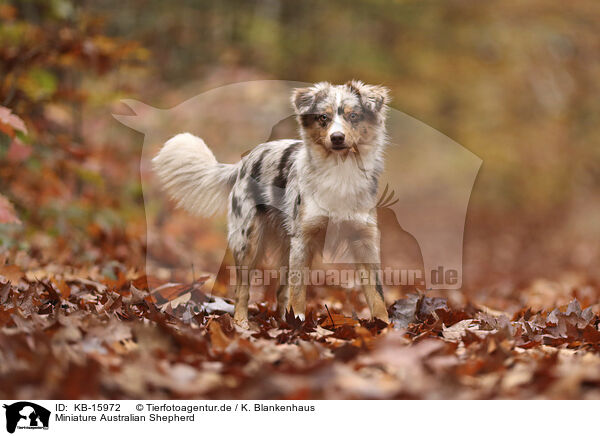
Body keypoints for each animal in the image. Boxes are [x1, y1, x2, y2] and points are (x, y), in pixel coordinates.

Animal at [152, 81, 392, 328]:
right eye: (323, 117)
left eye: (353, 116)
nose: (337, 137)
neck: (340, 171)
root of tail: (242, 163)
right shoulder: (303, 239)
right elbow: (298, 291)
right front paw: (300, 321)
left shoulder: (364, 240)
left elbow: (376, 291)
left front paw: (384, 326)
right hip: (249, 241)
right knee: (242, 289)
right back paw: (241, 322)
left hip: (285, 245)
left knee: (280, 290)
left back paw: (282, 321)